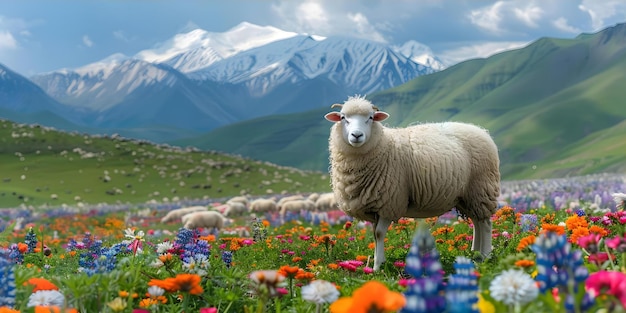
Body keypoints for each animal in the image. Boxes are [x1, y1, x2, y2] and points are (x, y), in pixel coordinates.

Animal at [324, 95, 500, 270]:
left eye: (371, 118)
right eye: (343, 118)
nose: (356, 135)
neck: (383, 145)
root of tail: (482, 131)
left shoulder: (390, 202)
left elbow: (379, 234)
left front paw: (377, 267)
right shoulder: (375, 206)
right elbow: (375, 235)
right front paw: (379, 262)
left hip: (481, 188)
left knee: (485, 223)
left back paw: (485, 256)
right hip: (466, 196)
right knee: (477, 221)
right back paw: (475, 254)